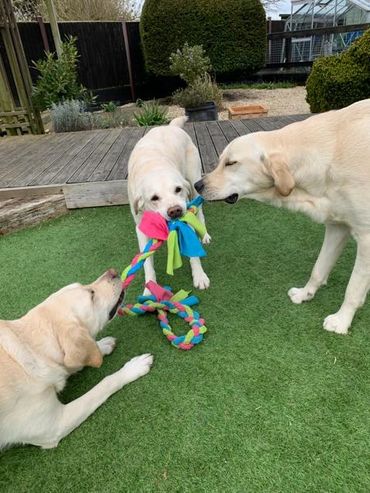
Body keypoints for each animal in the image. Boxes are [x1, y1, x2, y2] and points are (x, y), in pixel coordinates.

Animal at [0, 270, 153, 450]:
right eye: (92, 294)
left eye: (84, 286)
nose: (112, 271)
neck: (30, 346)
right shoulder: (53, 427)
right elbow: (105, 383)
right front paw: (134, 367)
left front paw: (101, 345)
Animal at [129, 115, 211, 292]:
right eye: (154, 198)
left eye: (178, 189)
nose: (175, 211)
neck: (153, 166)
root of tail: (170, 126)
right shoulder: (141, 228)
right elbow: (146, 262)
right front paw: (149, 289)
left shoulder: (187, 217)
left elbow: (193, 251)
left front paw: (199, 276)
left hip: (195, 182)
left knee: (200, 212)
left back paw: (205, 235)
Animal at [197, 98, 370, 332]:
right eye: (220, 160)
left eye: (231, 163)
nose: (197, 185)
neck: (328, 154)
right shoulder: (337, 227)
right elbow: (319, 268)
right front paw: (305, 294)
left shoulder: (367, 238)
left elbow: (353, 288)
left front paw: (341, 320)